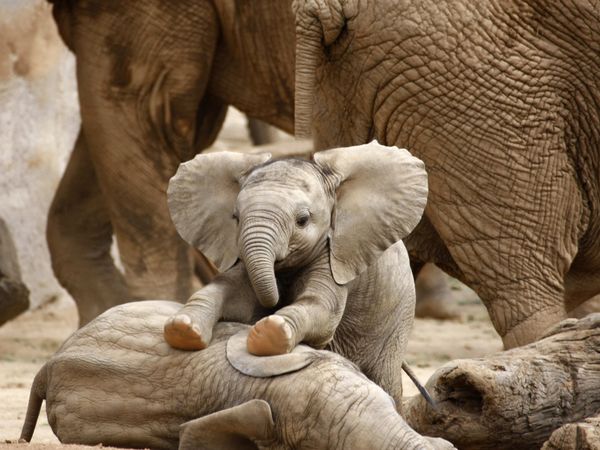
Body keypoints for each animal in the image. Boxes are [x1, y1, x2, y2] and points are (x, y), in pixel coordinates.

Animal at [163, 141, 426, 404]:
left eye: (302, 220)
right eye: (235, 218)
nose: (276, 300)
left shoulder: (336, 255)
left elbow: (322, 308)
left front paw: (269, 332)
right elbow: (231, 291)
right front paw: (182, 328)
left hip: (397, 320)